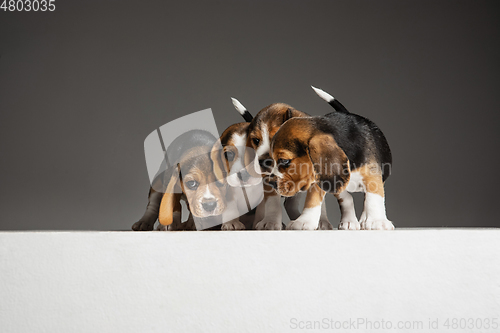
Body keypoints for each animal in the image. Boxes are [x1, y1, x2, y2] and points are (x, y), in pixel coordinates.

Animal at [270, 87, 394, 230]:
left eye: (285, 161)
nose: (271, 183)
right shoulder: (323, 179)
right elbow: (340, 199)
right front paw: (305, 221)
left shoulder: (372, 174)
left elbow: (374, 197)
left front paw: (377, 221)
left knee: (367, 199)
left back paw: (364, 219)